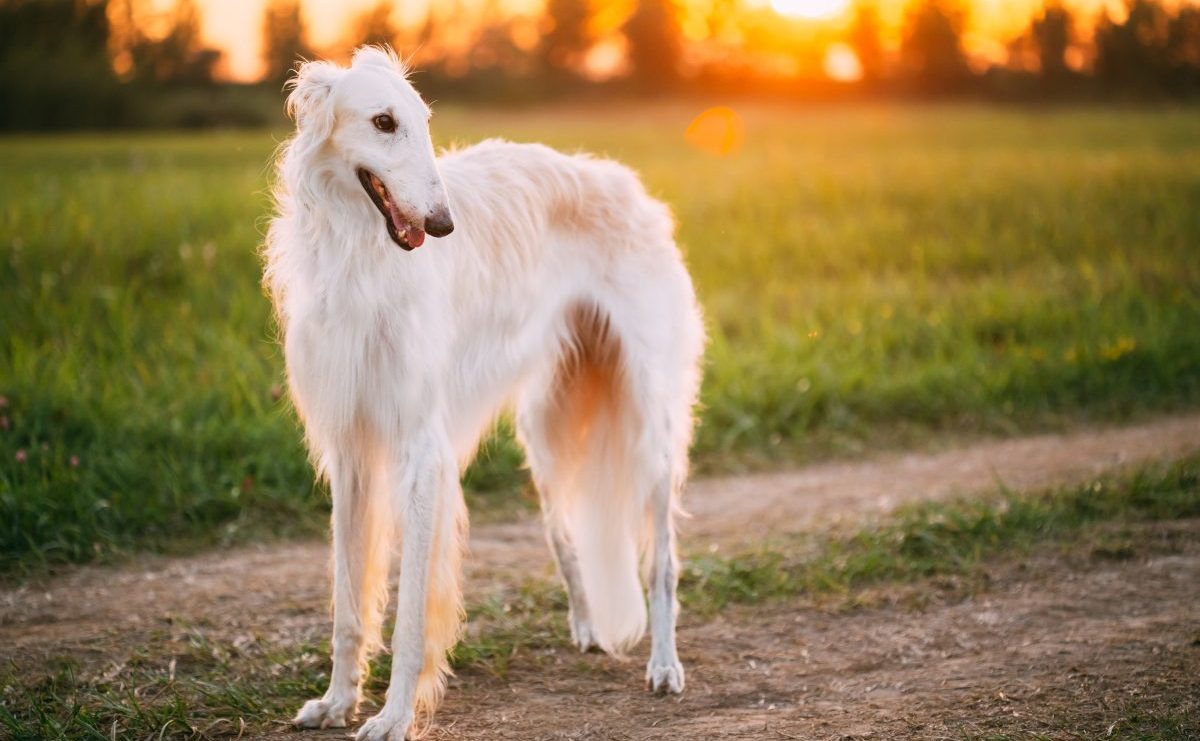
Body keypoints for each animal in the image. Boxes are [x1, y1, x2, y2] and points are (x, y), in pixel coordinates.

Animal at [265, 47, 700, 738]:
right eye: (383, 121)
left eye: (422, 121)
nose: (443, 224)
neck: (362, 258)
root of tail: (628, 187)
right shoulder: (351, 450)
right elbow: (348, 603)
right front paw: (336, 701)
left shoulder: (421, 451)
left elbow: (412, 614)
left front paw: (393, 716)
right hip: (545, 435)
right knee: (565, 538)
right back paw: (588, 626)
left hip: (649, 427)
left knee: (660, 563)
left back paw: (664, 664)